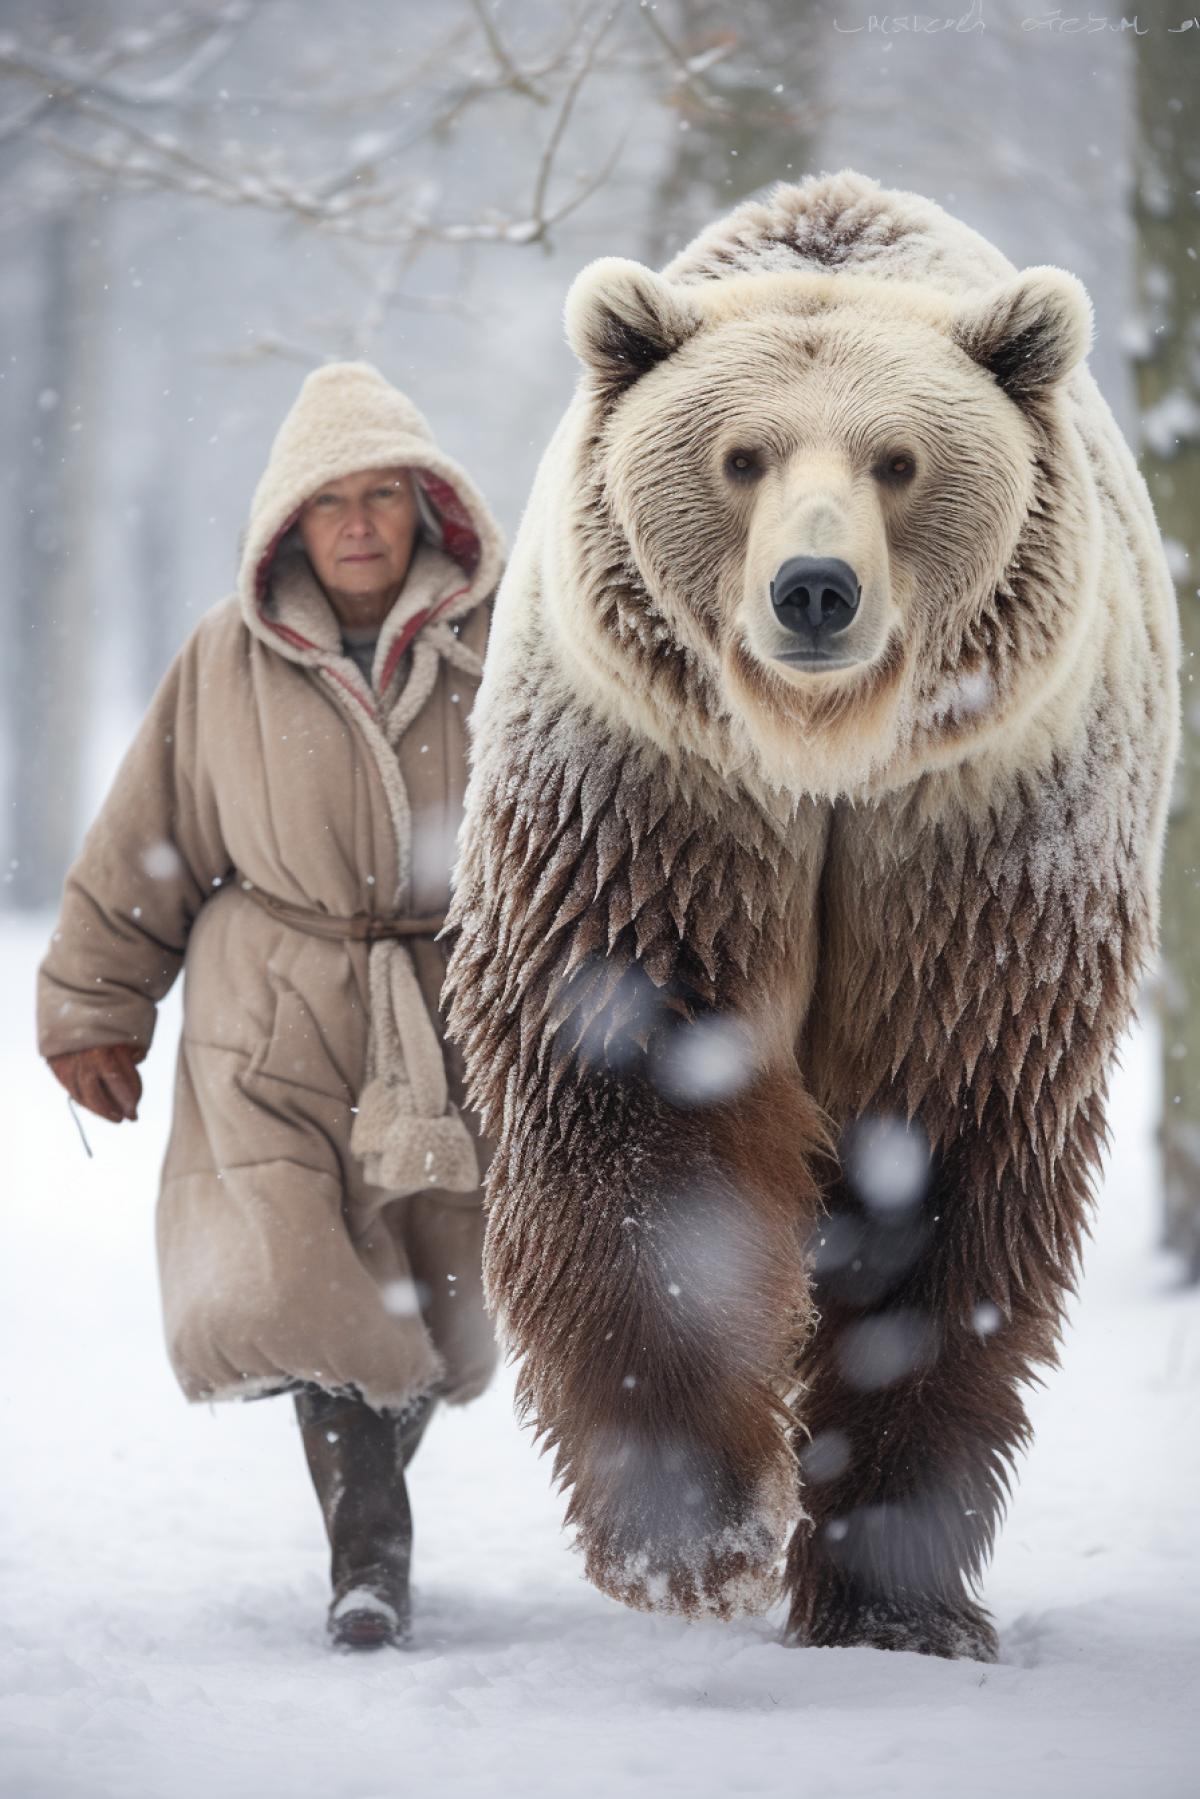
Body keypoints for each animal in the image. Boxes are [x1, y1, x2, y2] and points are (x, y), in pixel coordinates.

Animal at [442, 170, 1180, 1660]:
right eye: (741, 457)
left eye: (899, 461)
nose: (815, 589)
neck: (827, 758)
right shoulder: (663, 805)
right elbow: (636, 1112)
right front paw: (695, 1533)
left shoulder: (970, 844)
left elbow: (943, 1152)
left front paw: (895, 1595)